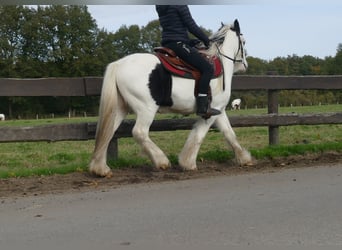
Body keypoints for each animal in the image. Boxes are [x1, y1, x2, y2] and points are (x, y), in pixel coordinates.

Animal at [89, 19, 252, 177]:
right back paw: (161, 161)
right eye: (243, 42)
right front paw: (188, 163)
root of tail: (118, 64)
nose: (245, 65)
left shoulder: (219, 111)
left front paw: (244, 158)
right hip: (146, 109)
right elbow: (199, 135)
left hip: (120, 108)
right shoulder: (211, 112)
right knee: (139, 132)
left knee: (107, 133)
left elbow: (229, 133)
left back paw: (100, 169)